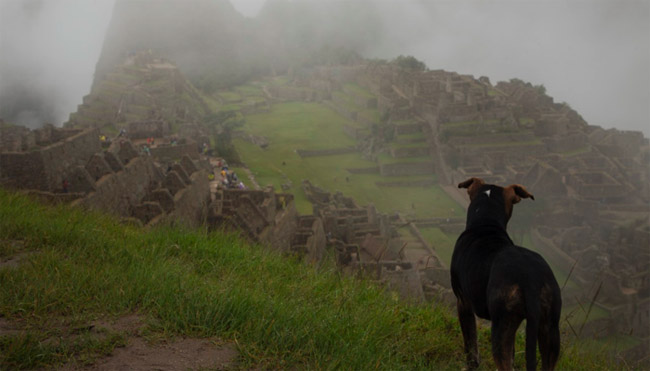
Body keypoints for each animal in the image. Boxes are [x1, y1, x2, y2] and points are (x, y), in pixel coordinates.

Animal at [448, 179, 560, 370]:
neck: (485, 223)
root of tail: (530, 278)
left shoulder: (463, 302)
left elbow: (471, 345)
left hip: (502, 324)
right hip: (549, 327)